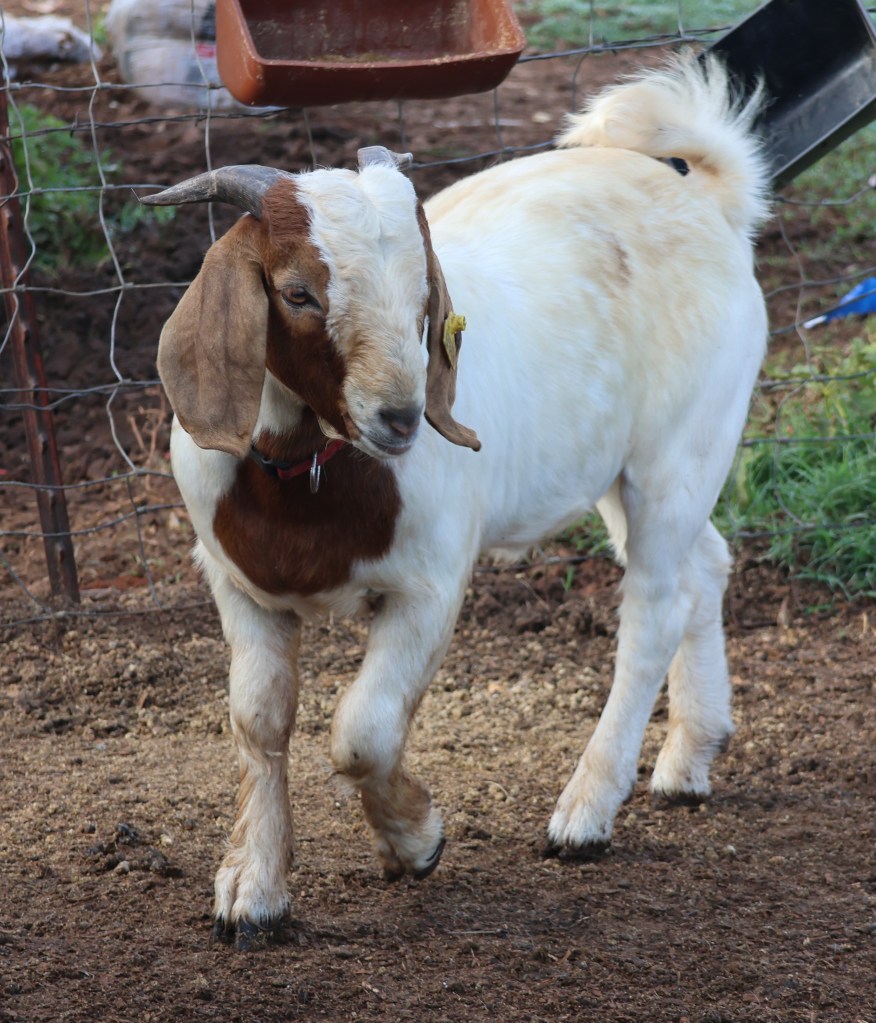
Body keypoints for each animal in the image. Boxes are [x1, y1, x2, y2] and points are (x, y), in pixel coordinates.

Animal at [142, 55, 770, 949]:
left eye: (423, 295)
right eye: (298, 291)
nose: (402, 417)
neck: (312, 473)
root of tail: (710, 199)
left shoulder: (431, 584)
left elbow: (364, 730)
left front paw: (415, 839)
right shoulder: (237, 585)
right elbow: (258, 719)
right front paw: (252, 891)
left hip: (679, 446)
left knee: (655, 607)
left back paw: (585, 812)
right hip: (641, 463)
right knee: (705, 566)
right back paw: (689, 758)